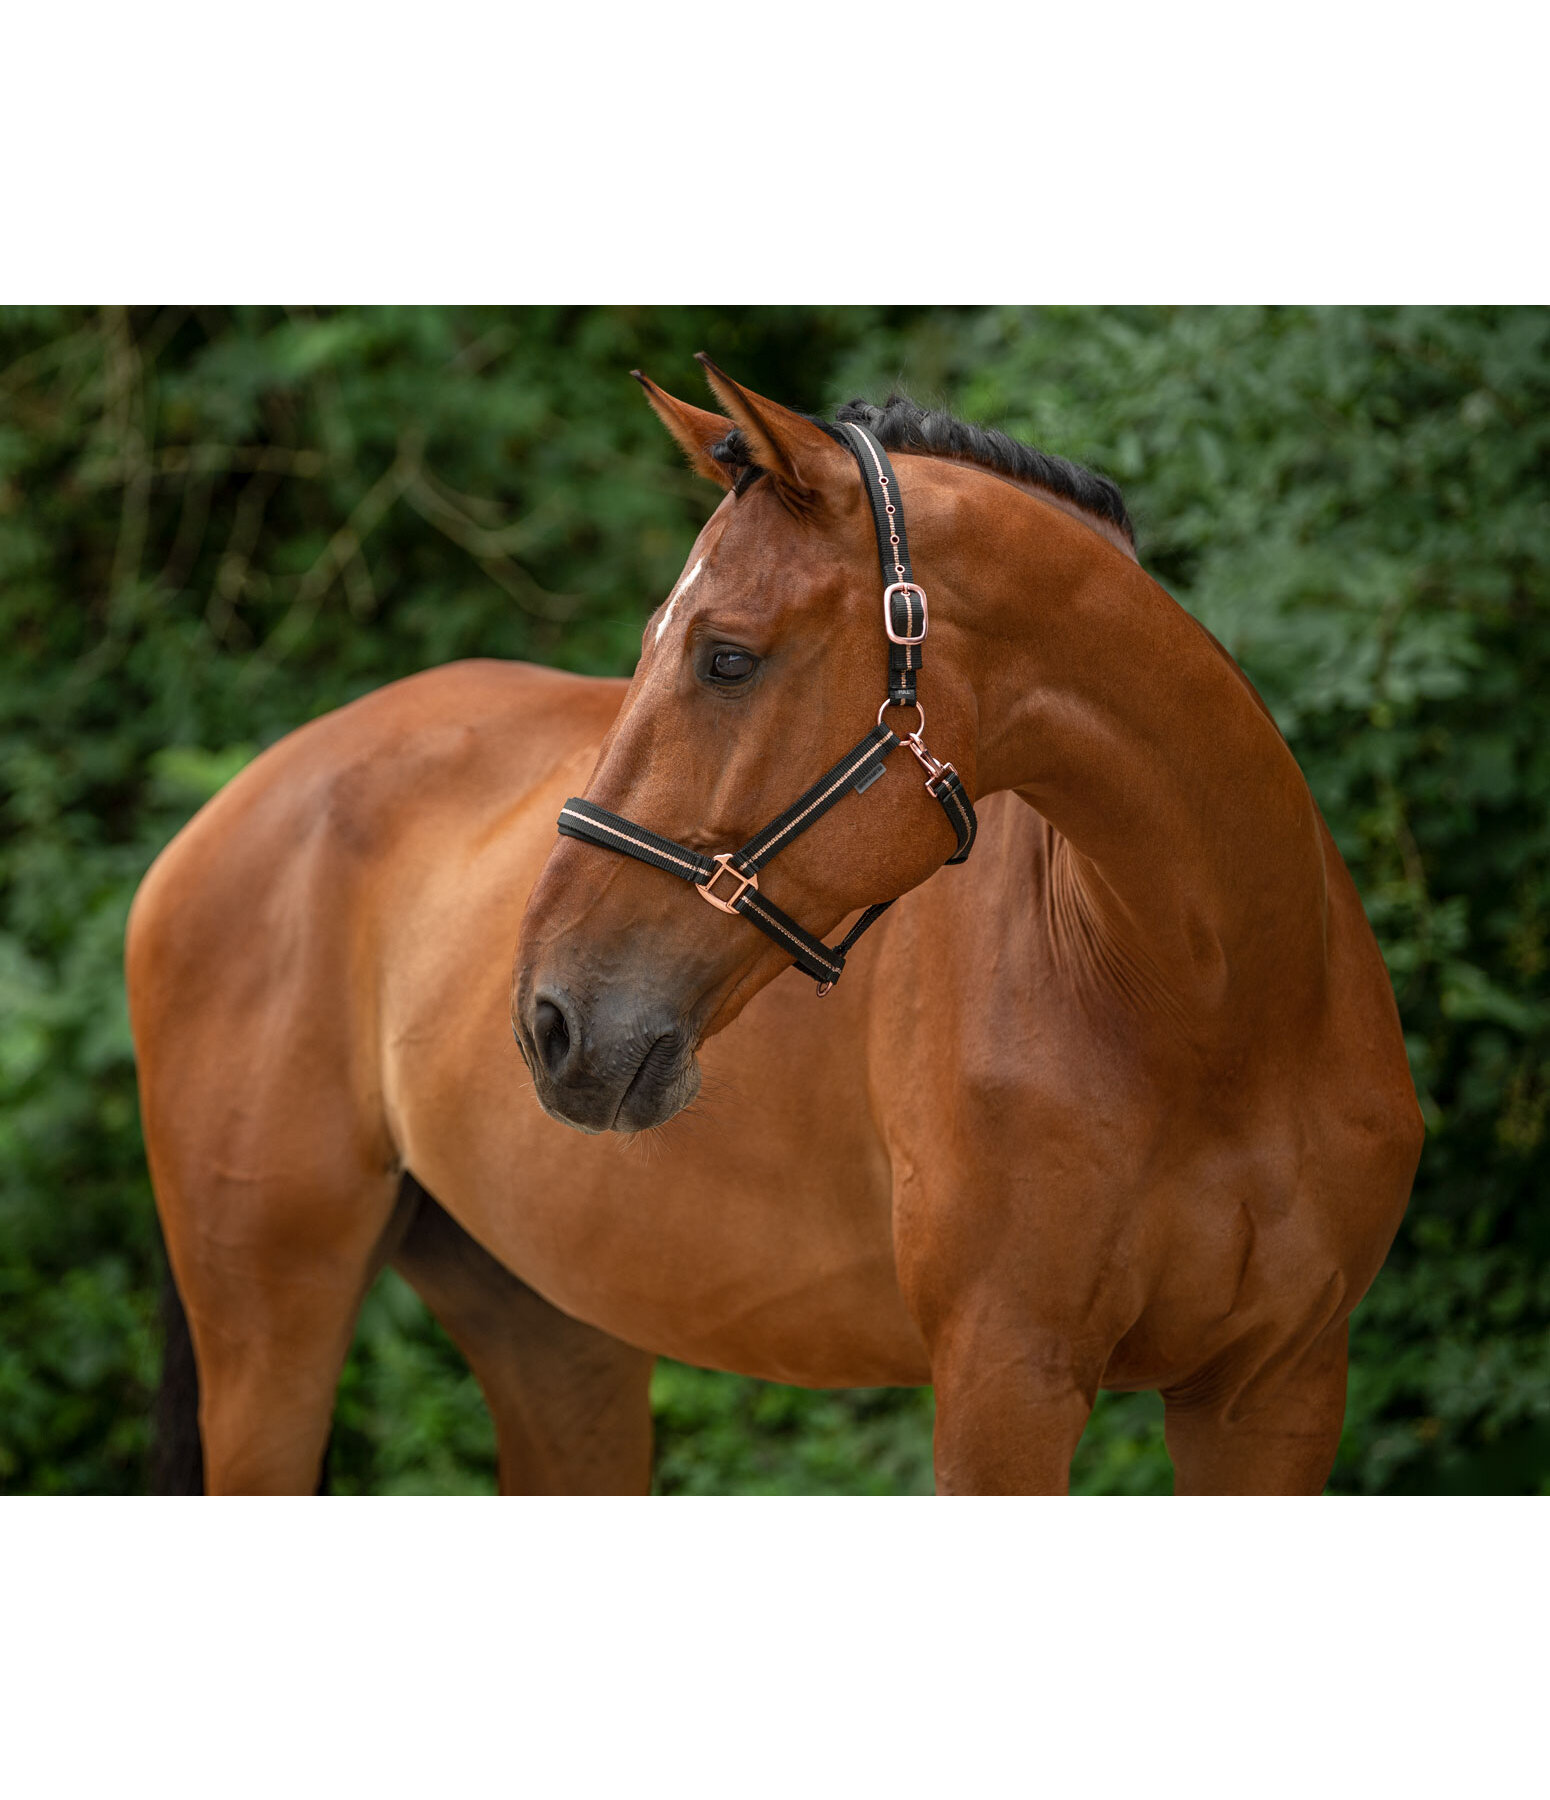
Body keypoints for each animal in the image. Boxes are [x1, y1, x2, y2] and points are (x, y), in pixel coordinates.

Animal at [126, 358, 1418, 1497]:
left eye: (726, 658)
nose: (549, 1021)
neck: (1214, 1014)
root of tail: (233, 807)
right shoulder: (1005, 1383)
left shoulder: (1276, 1393)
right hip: (269, 1334)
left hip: (555, 1333)